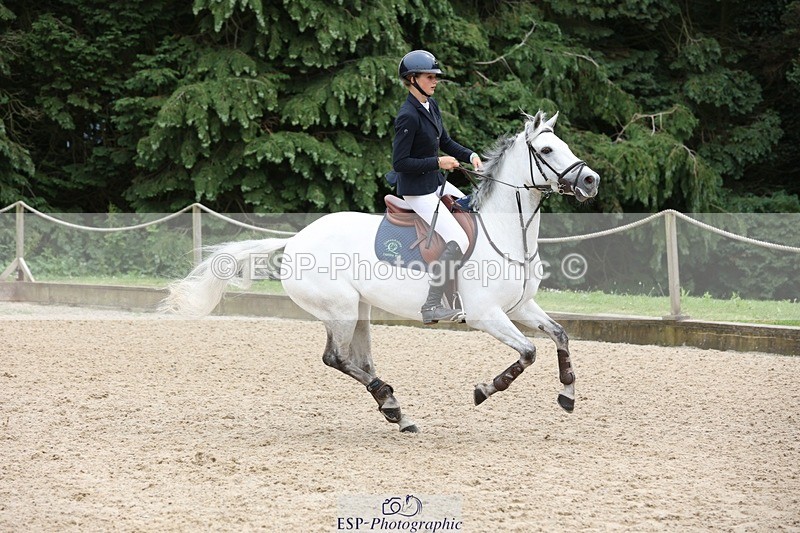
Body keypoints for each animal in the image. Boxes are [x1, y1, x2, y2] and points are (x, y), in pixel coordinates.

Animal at [162, 110, 600, 433]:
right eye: (547, 149)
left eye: (565, 145)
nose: (591, 180)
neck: (508, 233)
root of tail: (296, 239)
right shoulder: (485, 315)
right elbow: (528, 352)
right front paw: (484, 390)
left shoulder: (520, 307)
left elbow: (560, 335)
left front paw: (567, 394)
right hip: (339, 308)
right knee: (335, 358)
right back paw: (390, 402)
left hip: (359, 309)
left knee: (360, 359)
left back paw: (395, 409)